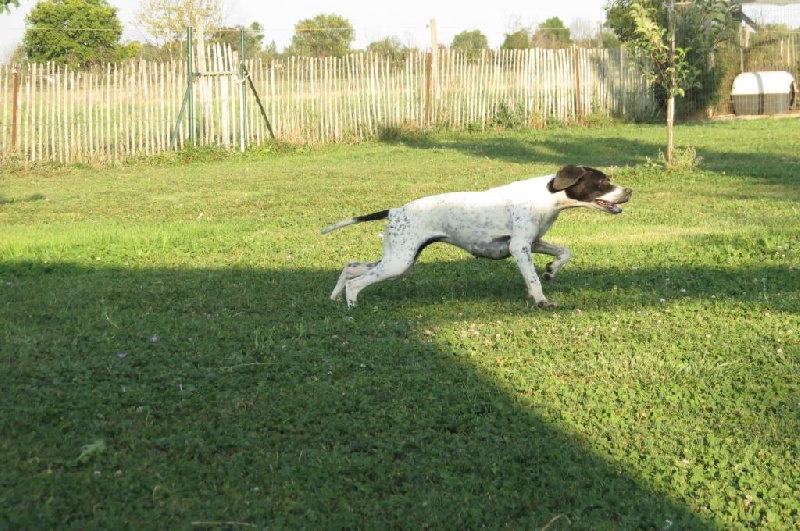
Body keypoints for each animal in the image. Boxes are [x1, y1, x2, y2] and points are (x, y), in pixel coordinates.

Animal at [320, 164, 632, 310]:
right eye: (603, 182)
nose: (629, 191)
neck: (547, 195)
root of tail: (395, 211)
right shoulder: (520, 248)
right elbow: (533, 280)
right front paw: (542, 301)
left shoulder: (533, 243)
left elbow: (564, 251)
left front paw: (552, 270)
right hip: (399, 262)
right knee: (357, 282)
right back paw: (352, 306)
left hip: (398, 259)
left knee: (350, 266)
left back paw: (334, 299)